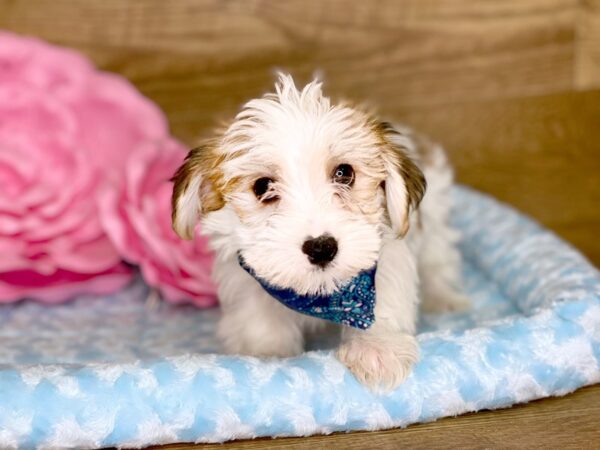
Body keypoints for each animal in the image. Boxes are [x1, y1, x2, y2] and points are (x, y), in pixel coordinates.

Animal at [171, 73, 466, 390]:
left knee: (438, 257)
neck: (321, 297)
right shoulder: (243, 274)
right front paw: (266, 352)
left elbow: (386, 292)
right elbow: (258, 316)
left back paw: (444, 297)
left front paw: (377, 347)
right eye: (262, 186)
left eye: (344, 173)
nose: (321, 247)